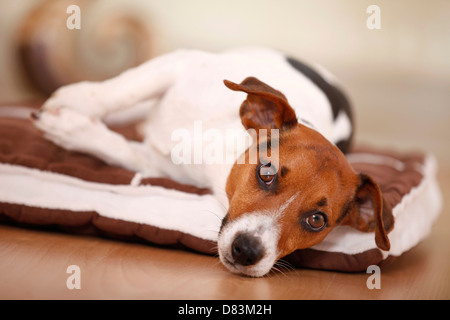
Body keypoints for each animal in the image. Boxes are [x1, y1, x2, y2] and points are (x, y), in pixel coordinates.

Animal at [30, 46, 394, 276]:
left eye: (317, 220)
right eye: (267, 171)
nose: (247, 251)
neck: (219, 150)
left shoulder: (156, 163)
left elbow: (118, 147)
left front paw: (74, 129)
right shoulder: (177, 64)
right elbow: (120, 90)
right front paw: (73, 102)